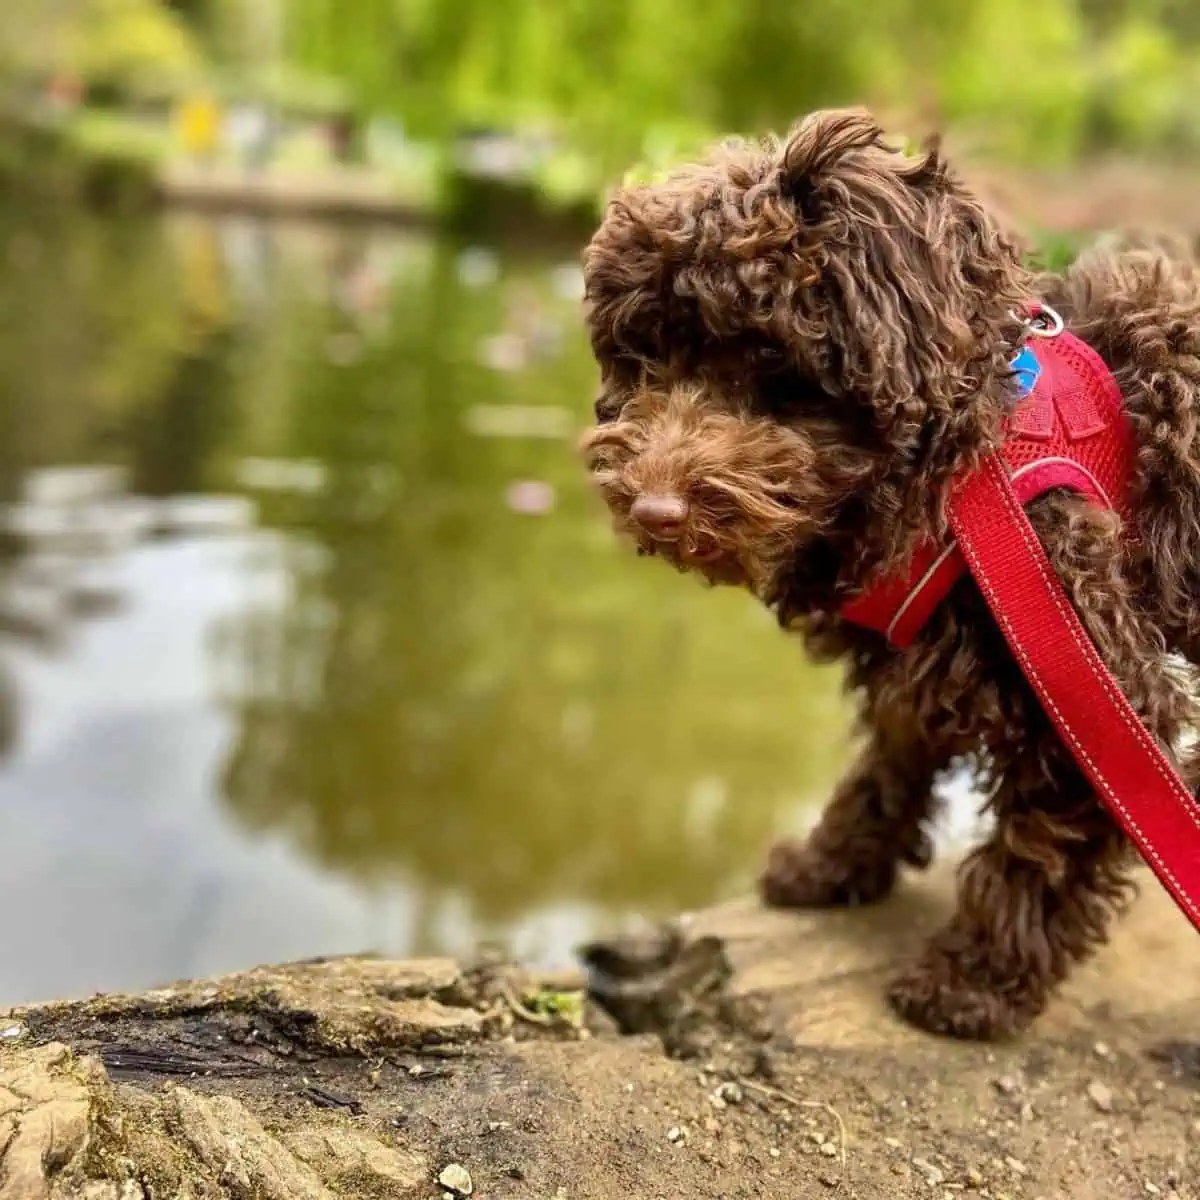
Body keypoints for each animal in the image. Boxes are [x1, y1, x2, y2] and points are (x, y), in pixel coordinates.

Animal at [580, 105, 1200, 1041]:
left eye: (771, 366)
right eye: (648, 358)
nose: (655, 509)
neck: (962, 473)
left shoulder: (1090, 680)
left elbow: (1043, 850)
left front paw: (971, 984)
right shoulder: (922, 647)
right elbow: (890, 760)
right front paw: (830, 867)